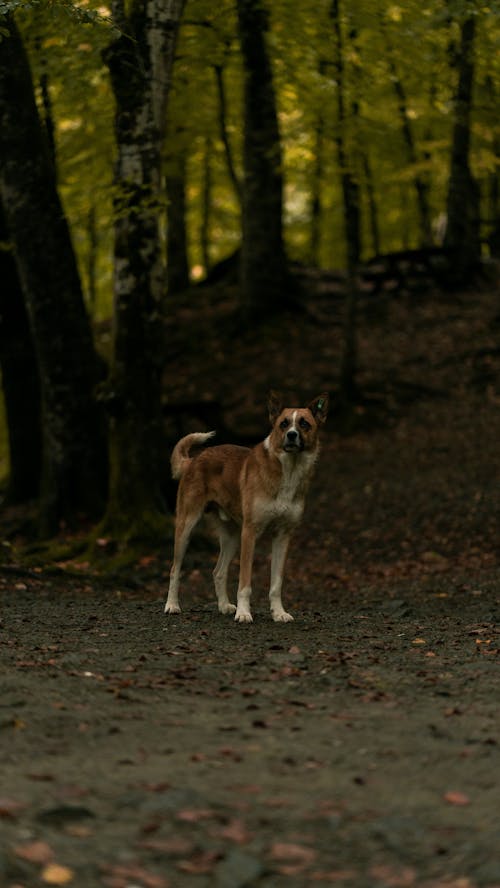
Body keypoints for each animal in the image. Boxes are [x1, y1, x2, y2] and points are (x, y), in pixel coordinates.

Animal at [163, 388, 328, 624]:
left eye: (304, 423)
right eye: (284, 424)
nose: (291, 435)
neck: (288, 471)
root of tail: (194, 460)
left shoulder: (283, 535)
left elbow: (276, 583)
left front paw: (279, 612)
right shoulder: (250, 533)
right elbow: (245, 582)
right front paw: (243, 613)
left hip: (232, 536)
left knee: (218, 572)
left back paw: (224, 606)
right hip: (187, 526)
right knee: (175, 568)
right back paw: (172, 605)